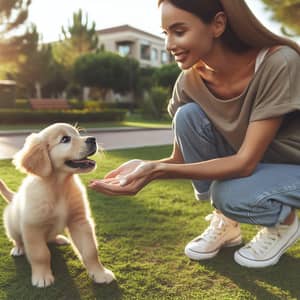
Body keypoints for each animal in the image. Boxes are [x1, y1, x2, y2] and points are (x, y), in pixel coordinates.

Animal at [0, 123, 115, 288]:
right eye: (65, 139)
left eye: (78, 134)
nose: (93, 139)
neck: (59, 186)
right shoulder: (33, 227)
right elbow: (40, 254)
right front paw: (42, 276)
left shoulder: (80, 221)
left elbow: (90, 250)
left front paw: (100, 274)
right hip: (12, 226)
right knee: (18, 239)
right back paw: (19, 248)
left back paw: (59, 238)